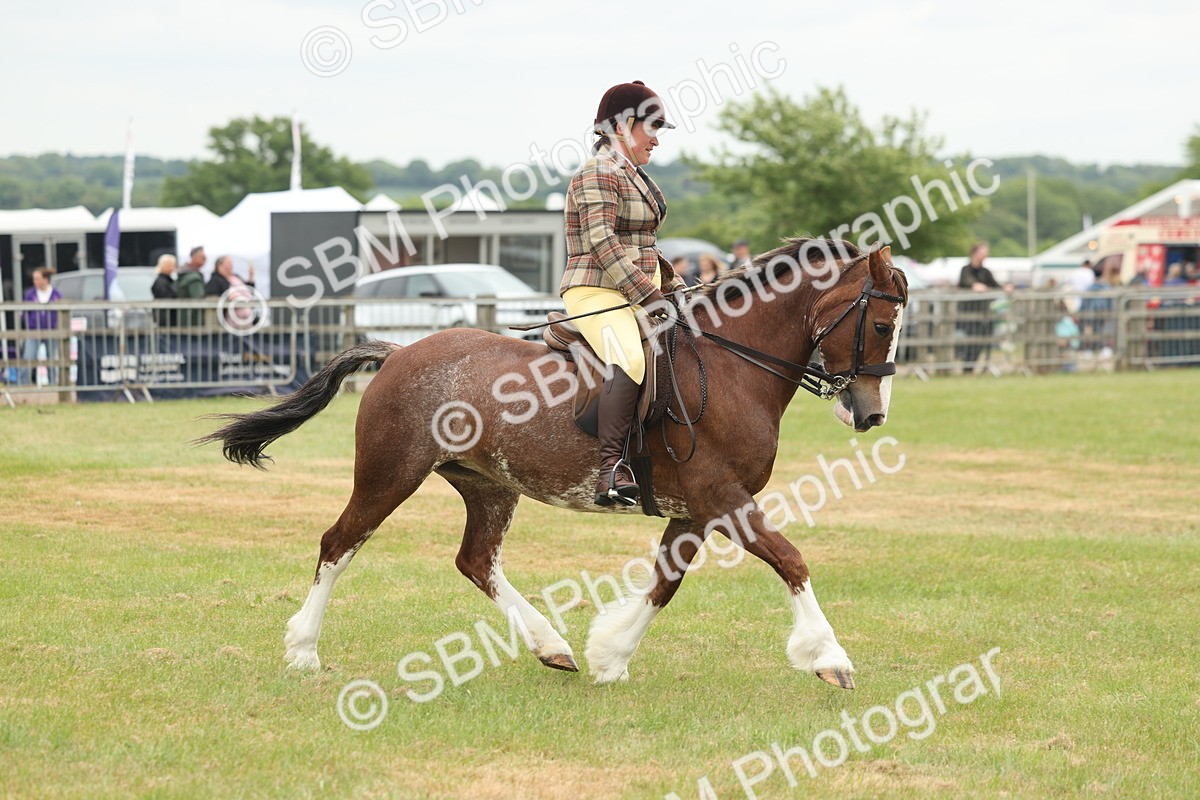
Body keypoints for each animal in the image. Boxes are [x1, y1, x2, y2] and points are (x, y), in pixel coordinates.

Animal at [200, 238, 909, 690]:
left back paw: (554, 646)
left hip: (488, 485)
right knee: (339, 543)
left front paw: (610, 655)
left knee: (475, 561)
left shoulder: (695, 510)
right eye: (880, 326)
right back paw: (303, 650)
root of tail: (400, 352)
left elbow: (664, 584)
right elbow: (790, 559)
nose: (871, 414)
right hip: (389, 474)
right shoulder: (723, 498)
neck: (732, 365)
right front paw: (830, 658)